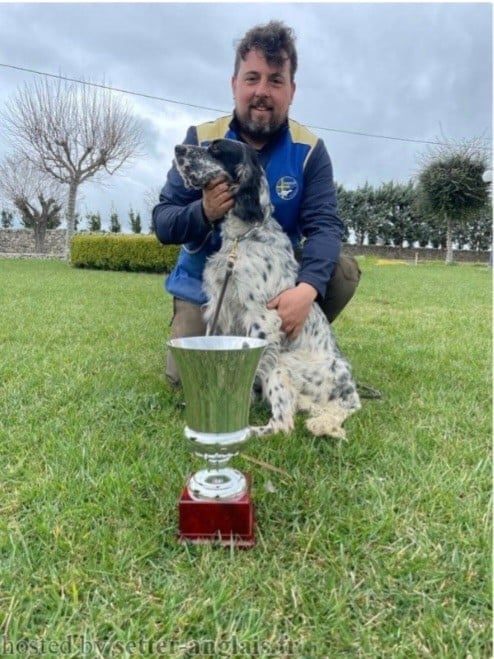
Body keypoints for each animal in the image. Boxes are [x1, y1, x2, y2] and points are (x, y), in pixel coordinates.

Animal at [176, 139, 360, 438]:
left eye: (216, 150)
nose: (178, 148)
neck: (241, 237)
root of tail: (351, 394)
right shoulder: (219, 308)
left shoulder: (262, 317)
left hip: (284, 365)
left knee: (283, 425)